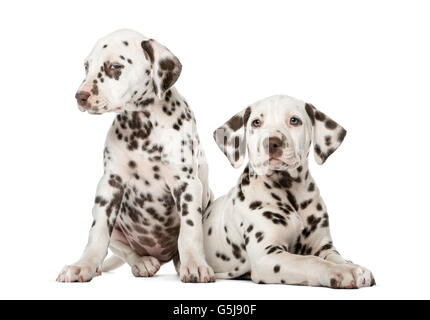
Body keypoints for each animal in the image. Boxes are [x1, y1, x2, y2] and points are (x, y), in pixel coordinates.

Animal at [57, 30, 215, 284]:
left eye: (114, 66)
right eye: (86, 66)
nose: (80, 97)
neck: (142, 126)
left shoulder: (187, 184)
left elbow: (190, 231)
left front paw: (195, 264)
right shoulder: (109, 185)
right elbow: (97, 233)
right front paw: (83, 266)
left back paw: (180, 262)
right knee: (126, 251)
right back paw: (142, 262)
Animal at [203, 95, 374, 288]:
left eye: (294, 120)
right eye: (256, 122)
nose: (271, 142)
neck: (289, 190)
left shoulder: (323, 247)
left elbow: (336, 258)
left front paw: (352, 266)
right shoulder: (266, 255)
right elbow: (310, 261)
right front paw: (340, 271)